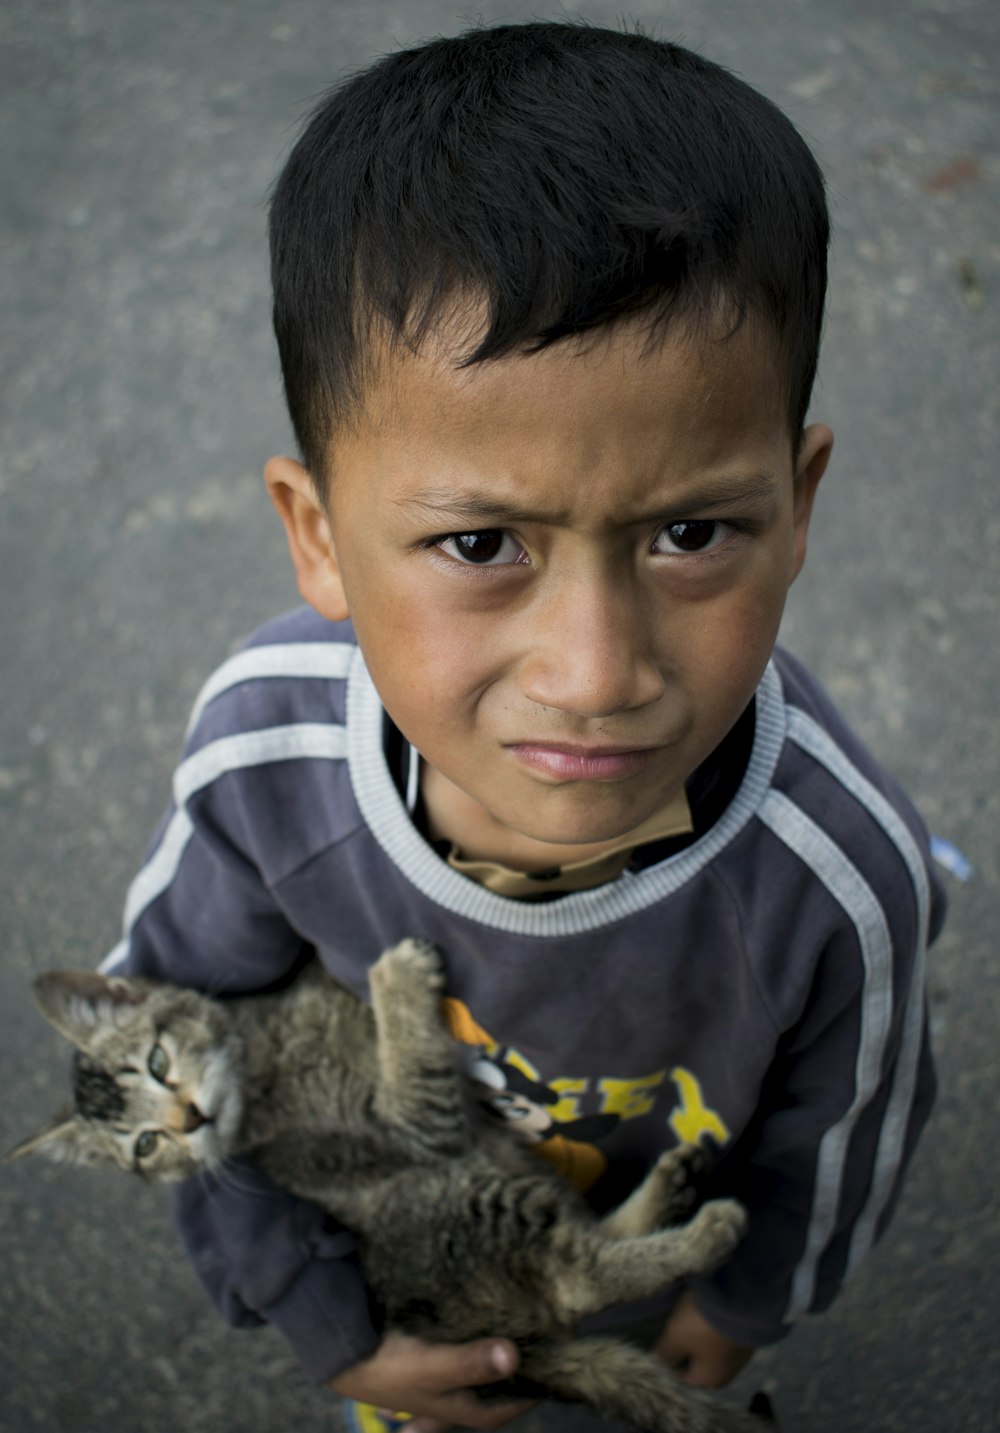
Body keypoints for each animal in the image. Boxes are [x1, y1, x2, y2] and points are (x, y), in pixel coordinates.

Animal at [7, 940, 767, 1433]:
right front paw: (395, 980)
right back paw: (705, 1231)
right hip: (455, 1200)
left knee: (584, 1237)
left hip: (509, 1179)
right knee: (576, 1279)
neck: (262, 1059)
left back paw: (671, 1187)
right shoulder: (415, 1127)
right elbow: (415, 1066)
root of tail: (516, 1353)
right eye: (145, 1144)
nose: (189, 1120)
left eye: (159, 1063)